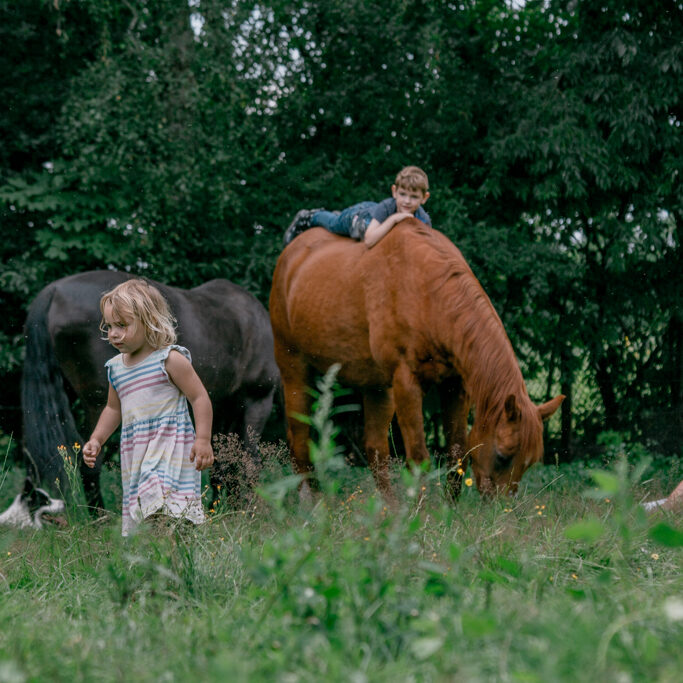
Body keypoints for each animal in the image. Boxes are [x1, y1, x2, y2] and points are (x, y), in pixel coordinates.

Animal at [22, 270, 278, 510]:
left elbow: (222, 463)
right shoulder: (256, 401)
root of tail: (53, 291)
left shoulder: (221, 408)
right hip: (97, 405)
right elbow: (249, 461)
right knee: (90, 462)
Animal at [270, 220, 564, 502]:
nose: (501, 508)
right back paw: (311, 501)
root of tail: (290, 255)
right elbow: (419, 457)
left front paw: (449, 508)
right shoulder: (406, 383)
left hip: (377, 387)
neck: (427, 291)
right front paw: (419, 512)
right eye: (504, 456)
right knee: (300, 437)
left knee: (375, 448)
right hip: (294, 369)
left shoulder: (455, 386)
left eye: (529, 463)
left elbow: (456, 452)